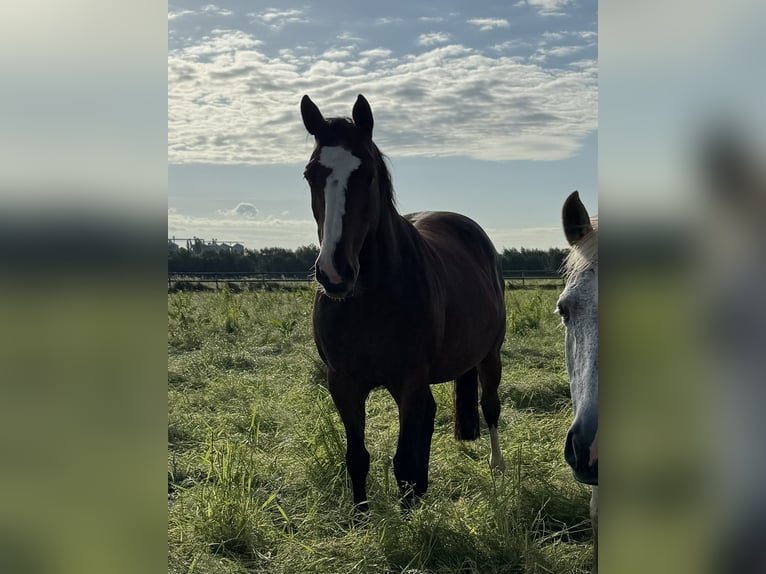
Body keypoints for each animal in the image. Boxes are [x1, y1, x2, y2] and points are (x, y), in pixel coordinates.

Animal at [302, 94, 510, 512]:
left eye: (366, 174)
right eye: (310, 175)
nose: (334, 272)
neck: (368, 301)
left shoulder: (408, 383)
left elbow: (404, 462)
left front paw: (411, 515)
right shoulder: (343, 384)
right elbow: (358, 457)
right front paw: (361, 517)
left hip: (489, 355)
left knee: (490, 407)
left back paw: (496, 468)